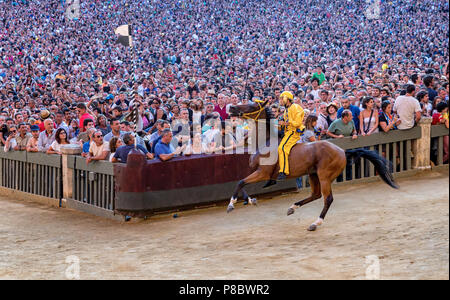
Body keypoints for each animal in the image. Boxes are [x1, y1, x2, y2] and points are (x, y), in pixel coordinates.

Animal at [227, 101, 400, 232]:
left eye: (251, 106)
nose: (231, 107)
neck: (266, 142)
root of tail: (342, 151)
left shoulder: (263, 173)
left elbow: (240, 182)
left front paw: (231, 204)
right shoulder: (255, 171)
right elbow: (241, 182)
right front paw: (250, 200)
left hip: (324, 176)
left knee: (327, 198)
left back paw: (316, 223)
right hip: (313, 174)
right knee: (316, 195)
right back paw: (293, 207)